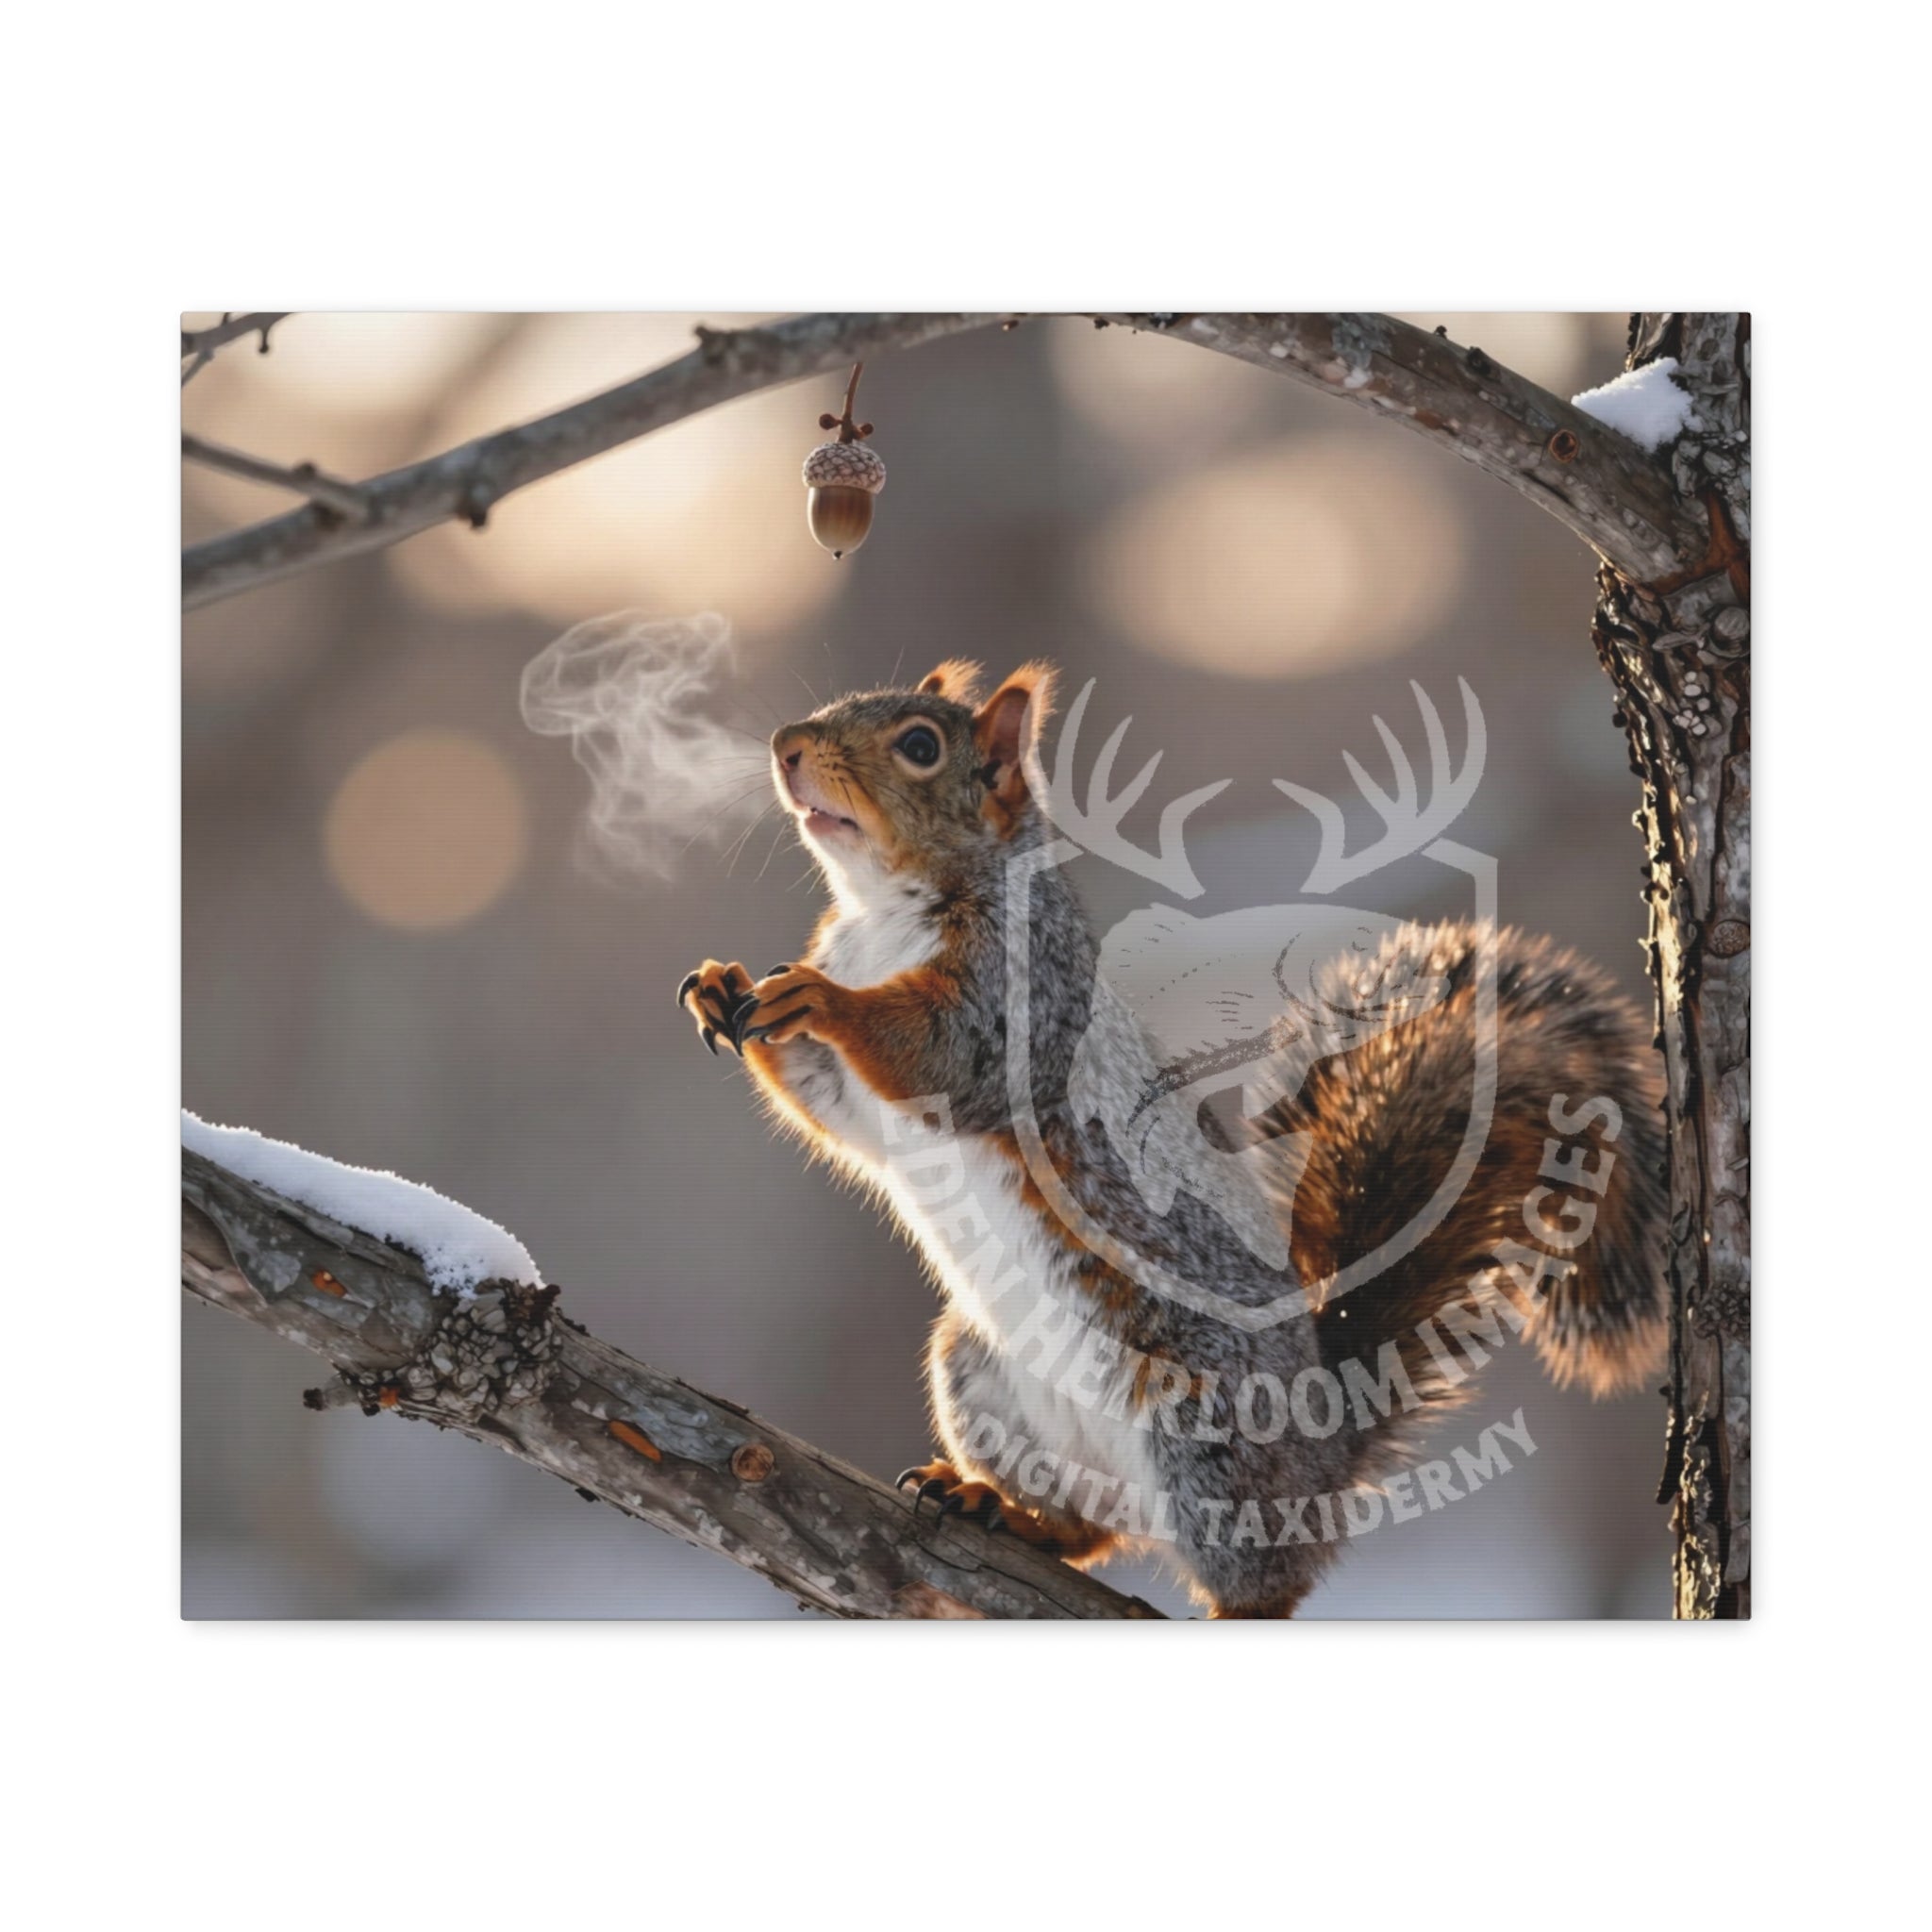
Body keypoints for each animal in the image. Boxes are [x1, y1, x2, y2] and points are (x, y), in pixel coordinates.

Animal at [679, 659, 1666, 1617]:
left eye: (920, 745)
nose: (786, 745)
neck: (884, 913)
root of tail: (1328, 1439)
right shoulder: (859, 1093)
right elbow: (833, 1109)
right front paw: (721, 984)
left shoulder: (1018, 1001)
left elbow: (944, 1052)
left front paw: (824, 1001)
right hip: (981, 1376)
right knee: (1091, 1527)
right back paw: (1001, 1506)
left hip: (1206, 1429)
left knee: (1265, 1577)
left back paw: (1235, 1598)